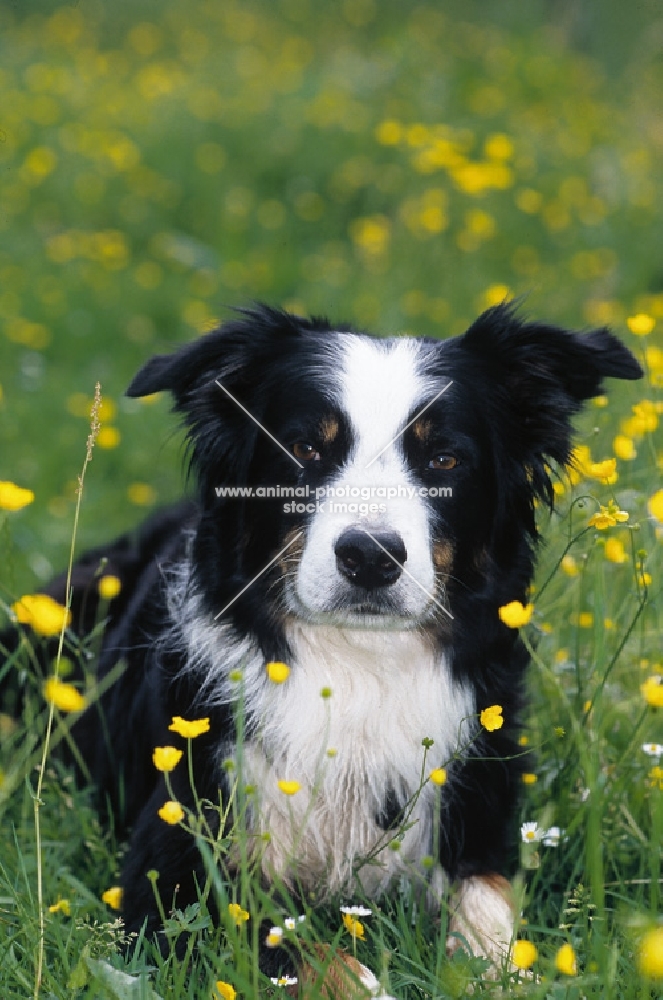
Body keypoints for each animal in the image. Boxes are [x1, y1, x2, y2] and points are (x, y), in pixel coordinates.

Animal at [11, 304, 644, 984]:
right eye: (306, 448)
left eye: (445, 460)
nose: (370, 556)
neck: (358, 662)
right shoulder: (172, 870)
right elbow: (299, 946)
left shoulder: (481, 819)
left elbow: (496, 923)